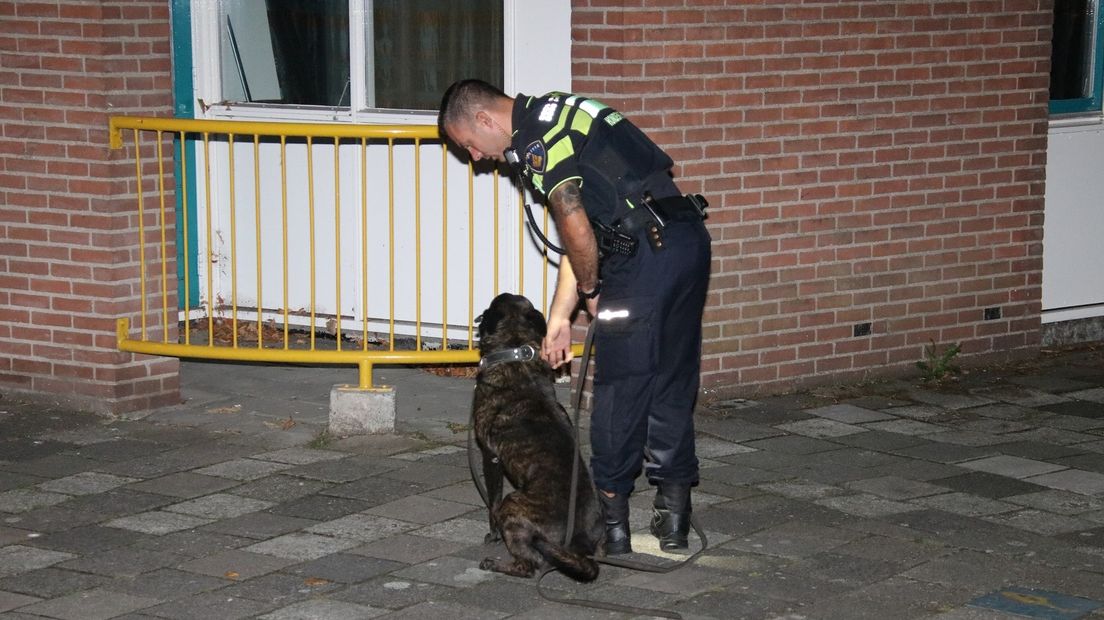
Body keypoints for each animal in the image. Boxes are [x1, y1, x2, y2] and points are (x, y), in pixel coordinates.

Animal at [470, 291, 600, 578]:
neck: (516, 352)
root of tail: (575, 545)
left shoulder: (490, 456)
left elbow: (492, 502)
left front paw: (492, 535)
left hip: (512, 504)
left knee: (529, 565)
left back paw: (495, 564)